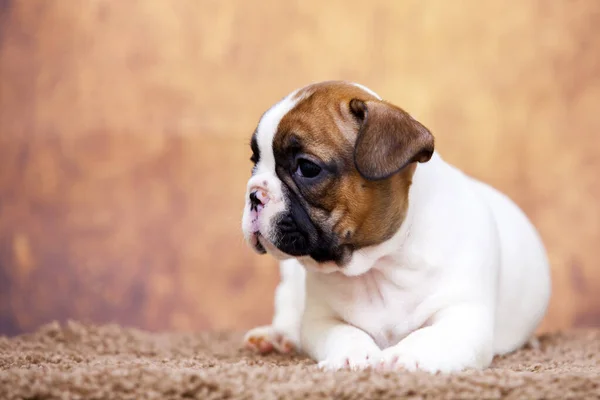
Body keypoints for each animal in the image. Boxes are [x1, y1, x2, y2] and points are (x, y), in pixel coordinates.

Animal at [241, 79, 552, 374]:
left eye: (307, 168)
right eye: (255, 162)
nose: (254, 194)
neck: (378, 264)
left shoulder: (462, 318)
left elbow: (430, 336)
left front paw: (409, 356)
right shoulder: (322, 319)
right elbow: (344, 333)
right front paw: (352, 356)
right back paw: (274, 337)